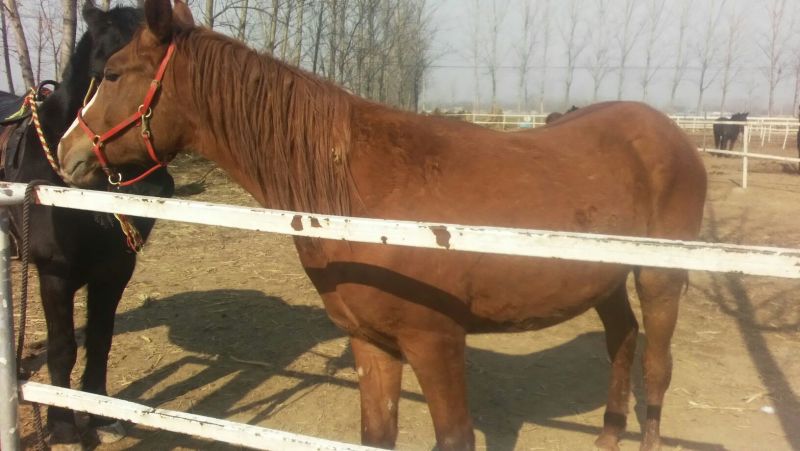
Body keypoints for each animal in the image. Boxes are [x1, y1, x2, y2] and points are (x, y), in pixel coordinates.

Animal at [1, 1, 174, 448]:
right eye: (107, 72)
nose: (154, 185)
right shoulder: (55, 275)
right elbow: (63, 348)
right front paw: (63, 427)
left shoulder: (114, 272)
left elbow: (99, 341)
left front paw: (101, 418)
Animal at [56, 1, 707, 450]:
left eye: (111, 73)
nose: (67, 153)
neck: (361, 193)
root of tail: (669, 133)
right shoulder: (371, 343)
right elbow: (377, 434)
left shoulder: (436, 342)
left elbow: (454, 437)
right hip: (606, 280)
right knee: (622, 342)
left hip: (660, 281)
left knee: (656, 370)